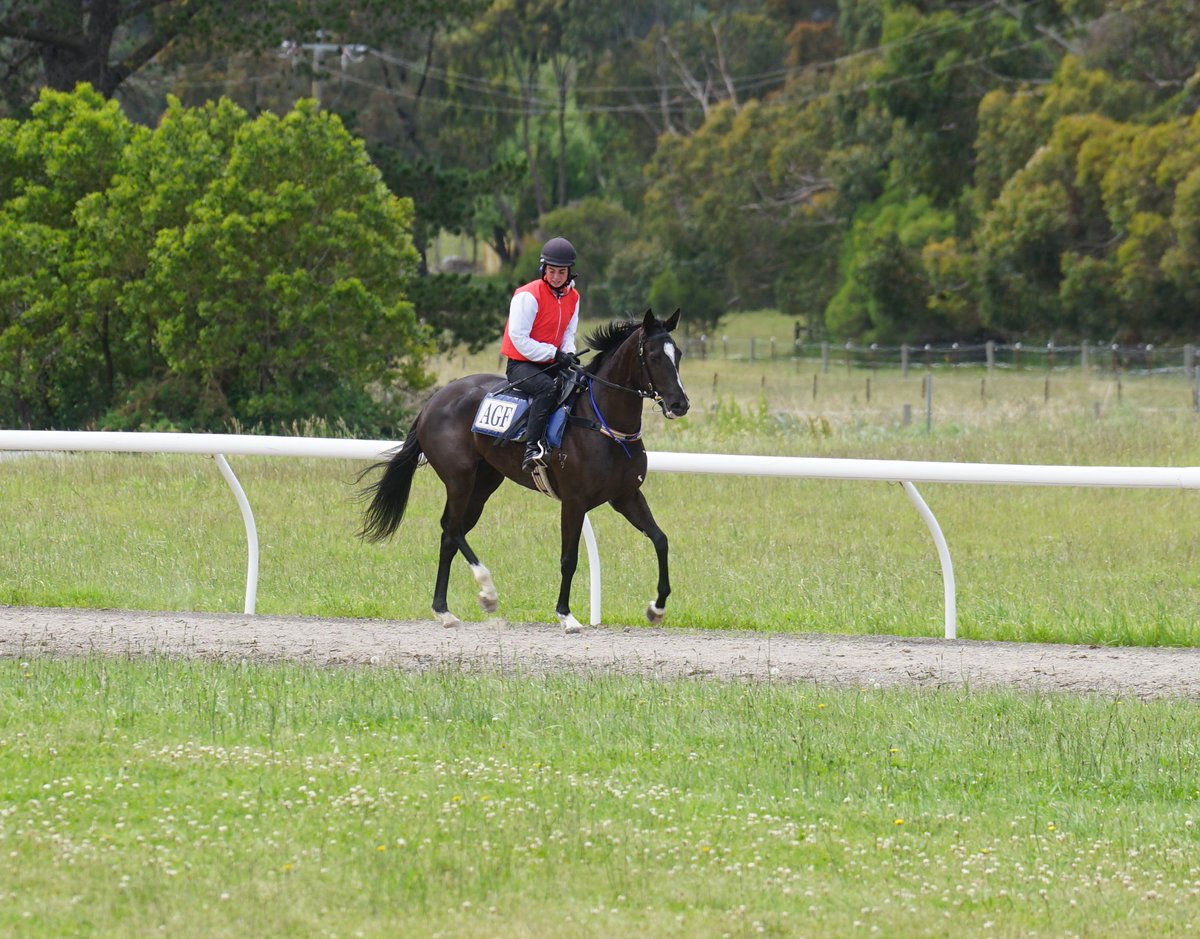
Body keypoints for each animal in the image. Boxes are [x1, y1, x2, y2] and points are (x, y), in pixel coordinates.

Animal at [359, 308, 690, 633]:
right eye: (653, 355)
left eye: (678, 354)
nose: (680, 404)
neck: (603, 423)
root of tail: (433, 401)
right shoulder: (574, 501)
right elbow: (569, 558)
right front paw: (565, 615)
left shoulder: (626, 496)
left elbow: (661, 540)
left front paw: (657, 608)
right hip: (459, 479)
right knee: (451, 528)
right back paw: (484, 592)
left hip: (485, 482)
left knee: (452, 533)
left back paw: (446, 608)